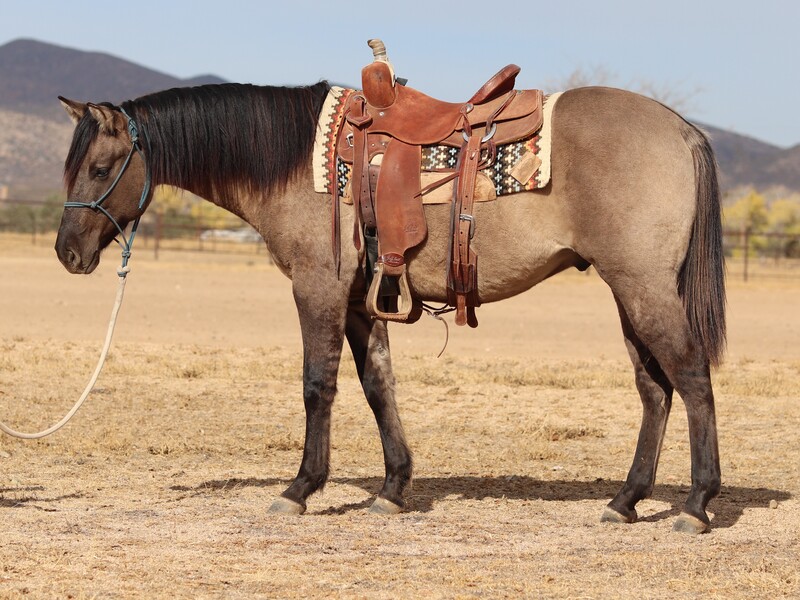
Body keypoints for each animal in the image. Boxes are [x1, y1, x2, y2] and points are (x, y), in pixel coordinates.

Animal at [54, 78, 724, 536]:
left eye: (101, 167)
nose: (67, 252)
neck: (297, 161)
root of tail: (681, 129)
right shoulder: (361, 301)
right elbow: (379, 385)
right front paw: (394, 487)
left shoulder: (318, 287)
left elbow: (318, 384)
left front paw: (300, 488)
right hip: (627, 293)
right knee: (655, 389)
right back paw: (626, 500)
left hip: (645, 287)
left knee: (692, 378)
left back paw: (696, 504)